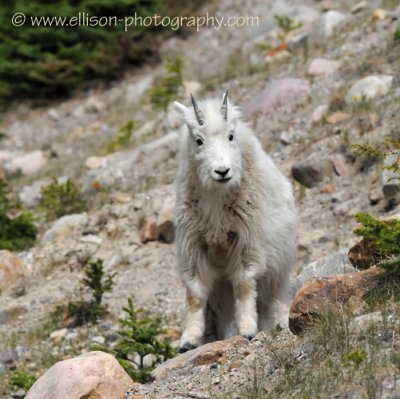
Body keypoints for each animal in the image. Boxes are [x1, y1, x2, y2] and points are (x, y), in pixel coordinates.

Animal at [173, 91, 296, 354]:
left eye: (230, 135)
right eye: (198, 140)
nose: (222, 171)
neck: (216, 195)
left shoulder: (247, 241)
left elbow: (244, 284)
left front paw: (248, 330)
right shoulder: (194, 244)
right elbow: (195, 293)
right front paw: (188, 341)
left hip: (275, 274)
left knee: (267, 301)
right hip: (221, 291)